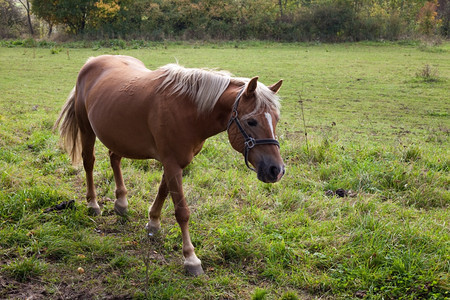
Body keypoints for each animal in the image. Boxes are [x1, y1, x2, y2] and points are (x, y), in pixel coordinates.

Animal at [54, 55, 284, 276]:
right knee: (89, 162)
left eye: (276, 119)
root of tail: (91, 61)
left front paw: (153, 224)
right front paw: (191, 259)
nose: (277, 170)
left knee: (114, 158)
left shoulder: (174, 161)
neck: (188, 109)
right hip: (86, 129)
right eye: (251, 121)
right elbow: (182, 211)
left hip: (117, 136)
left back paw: (121, 202)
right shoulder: (172, 162)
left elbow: (163, 191)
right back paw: (93, 203)